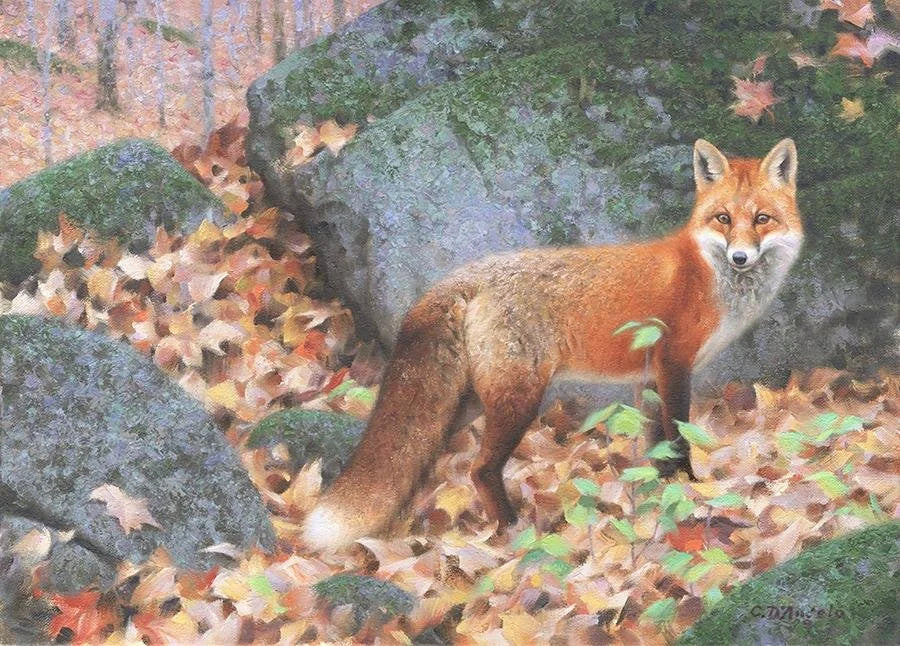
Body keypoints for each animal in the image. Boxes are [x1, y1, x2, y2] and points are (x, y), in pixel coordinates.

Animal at [303, 138, 804, 550]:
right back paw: (512, 531)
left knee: (423, 464)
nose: (740, 256)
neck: (707, 275)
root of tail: (464, 277)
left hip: (464, 404)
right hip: (519, 398)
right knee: (480, 468)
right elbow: (678, 437)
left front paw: (659, 490)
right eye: (723, 219)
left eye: (762, 219)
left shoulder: (648, 377)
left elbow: (654, 442)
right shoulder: (674, 365)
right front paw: (689, 486)